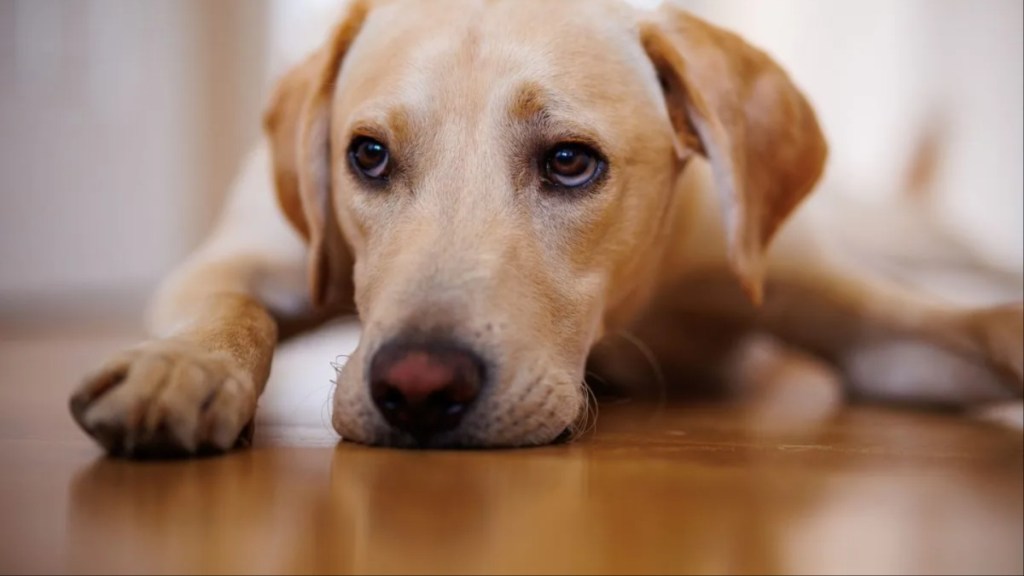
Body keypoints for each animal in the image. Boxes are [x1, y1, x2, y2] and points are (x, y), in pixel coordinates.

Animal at [68, 0, 1019, 455]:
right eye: (367, 155)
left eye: (569, 162)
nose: (418, 389)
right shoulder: (239, 257)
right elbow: (230, 312)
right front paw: (182, 369)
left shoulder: (854, 324)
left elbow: (982, 324)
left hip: (907, 236)